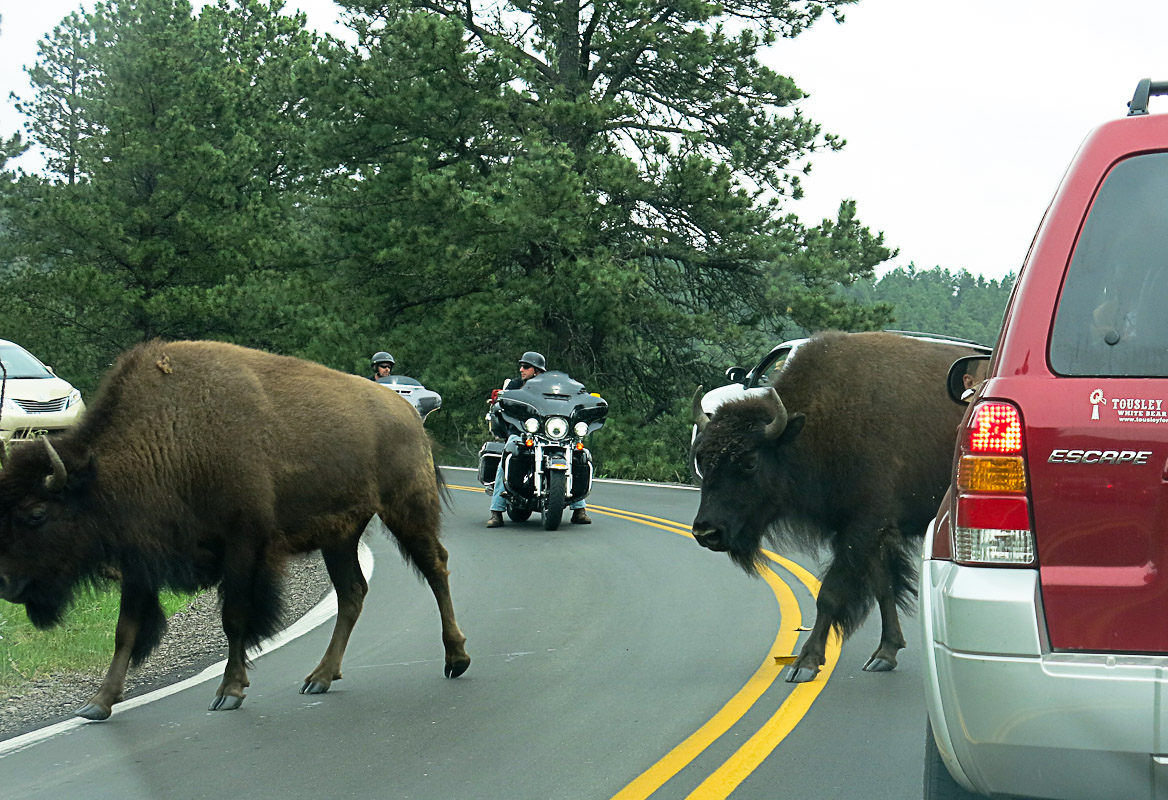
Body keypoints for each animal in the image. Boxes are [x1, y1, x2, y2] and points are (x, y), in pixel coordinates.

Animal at [0, 336, 469, 719]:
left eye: (36, 513)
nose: (6, 584)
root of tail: (406, 411)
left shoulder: (243, 545)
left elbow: (235, 619)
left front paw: (229, 691)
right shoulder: (142, 559)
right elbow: (125, 631)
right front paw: (97, 703)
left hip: (406, 509)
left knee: (436, 568)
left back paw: (456, 659)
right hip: (340, 536)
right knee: (353, 592)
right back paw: (319, 677)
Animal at [691, 329, 976, 682]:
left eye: (749, 463)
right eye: (702, 458)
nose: (706, 532)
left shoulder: (865, 526)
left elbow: (830, 594)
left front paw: (805, 663)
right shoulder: (866, 531)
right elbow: (883, 588)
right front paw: (884, 654)